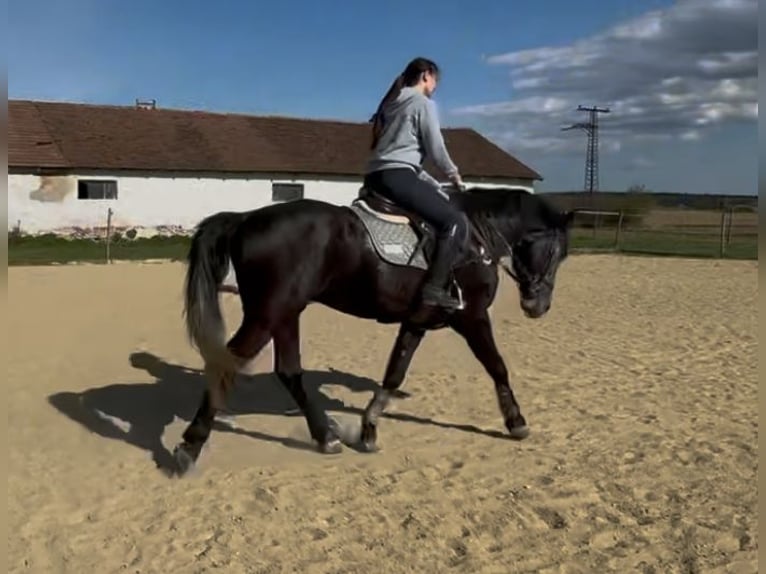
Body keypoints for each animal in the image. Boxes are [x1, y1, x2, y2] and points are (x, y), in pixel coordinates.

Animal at [173, 184, 574, 476]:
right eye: (558, 253)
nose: (539, 306)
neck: (476, 236)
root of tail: (245, 218)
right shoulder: (472, 317)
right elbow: (497, 366)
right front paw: (516, 421)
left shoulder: (416, 321)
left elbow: (395, 373)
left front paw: (368, 429)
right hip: (266, 315)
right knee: (226, 366)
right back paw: (190, 446)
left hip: (286, 314)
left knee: (288, 371)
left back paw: (326, 437)